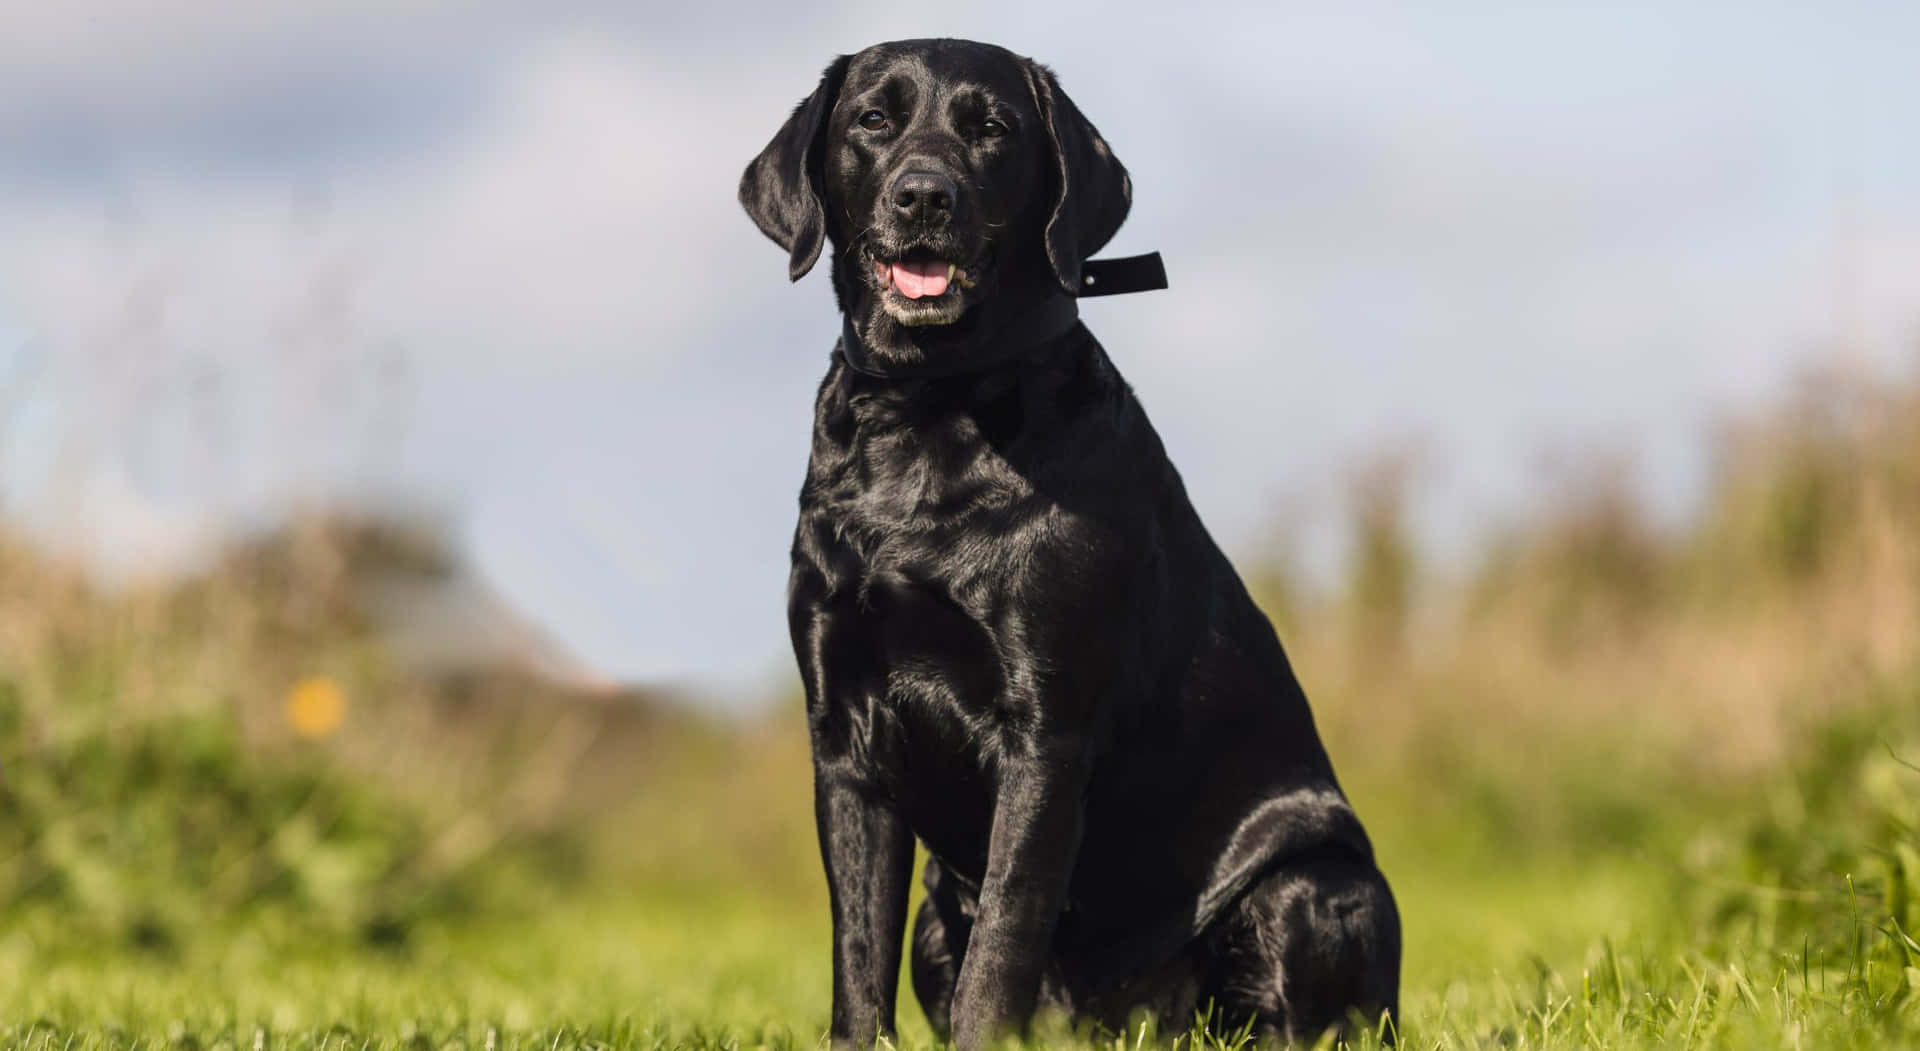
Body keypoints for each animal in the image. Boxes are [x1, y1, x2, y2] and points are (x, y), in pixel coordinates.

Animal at [737, 36, 1397, 1045]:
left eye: (993, 129)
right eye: (874, 120)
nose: (923, 197)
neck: (926, 411)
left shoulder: (1045, 731)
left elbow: (1005, 940)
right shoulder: (843, 737)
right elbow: (856, 954)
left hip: (1310, 883)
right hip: (934, 915)